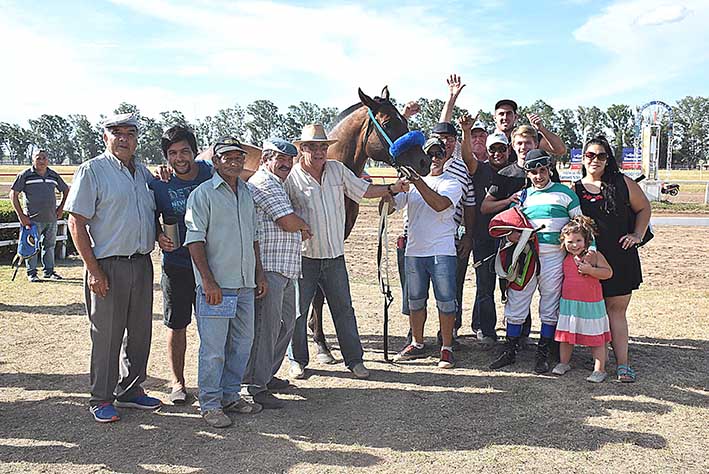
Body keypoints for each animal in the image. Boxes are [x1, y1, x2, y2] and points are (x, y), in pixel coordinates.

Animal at [306, 86, 428, 362]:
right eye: (388, 123)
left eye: (405, 121)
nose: (424, 162)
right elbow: (315, 290)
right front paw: (320, 344)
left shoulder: (336, 239)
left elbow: (319, 291)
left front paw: (315, 332)